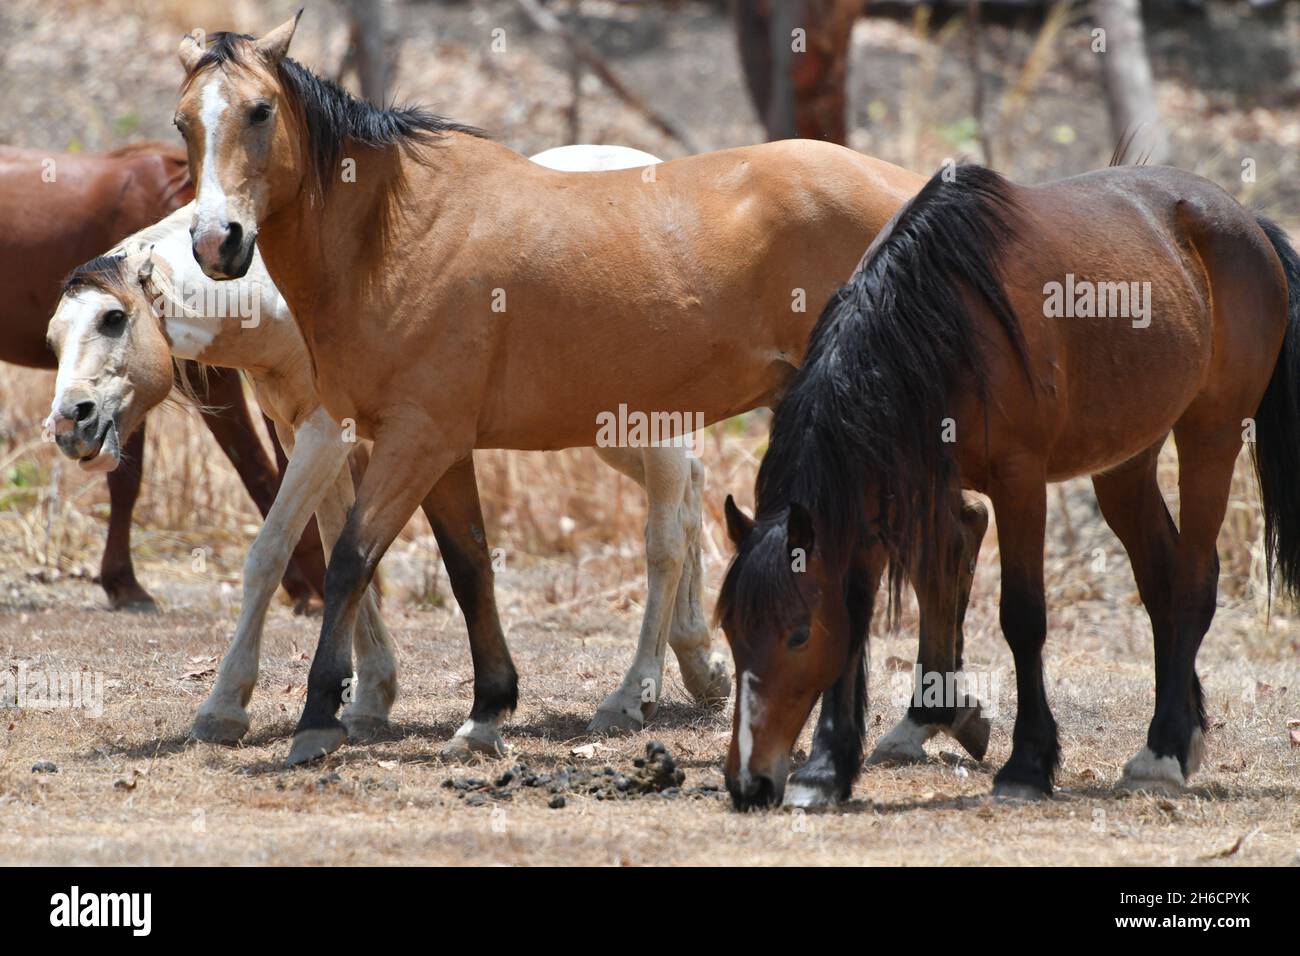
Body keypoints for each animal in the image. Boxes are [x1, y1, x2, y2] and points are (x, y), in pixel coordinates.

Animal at [170, 16, 993, 770]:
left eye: (259, 111)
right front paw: (487, 710)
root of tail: (921, 198)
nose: (217, 242)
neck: (395, 234)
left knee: (942, 532)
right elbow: (470, 567)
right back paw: (930, 722)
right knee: (957, 526)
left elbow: (349, 561)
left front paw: (317, 718)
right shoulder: (440, 448)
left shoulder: (414, 439)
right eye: (183, 123)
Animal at [717, 162, 1300, 806]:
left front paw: (1028, 764)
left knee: (1195, 583)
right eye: (731, 630)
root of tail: (1247, 221)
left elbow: (1022, 618)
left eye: (796, 636)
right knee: (1161, 583)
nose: (749, 783)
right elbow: (855, 616)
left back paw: (1162, 755)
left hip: (1211, 436)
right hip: (1125, 463)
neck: (942, 317)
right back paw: (1182, 734)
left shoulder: (1020, 480)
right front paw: (824, 769)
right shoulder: (869, 495)